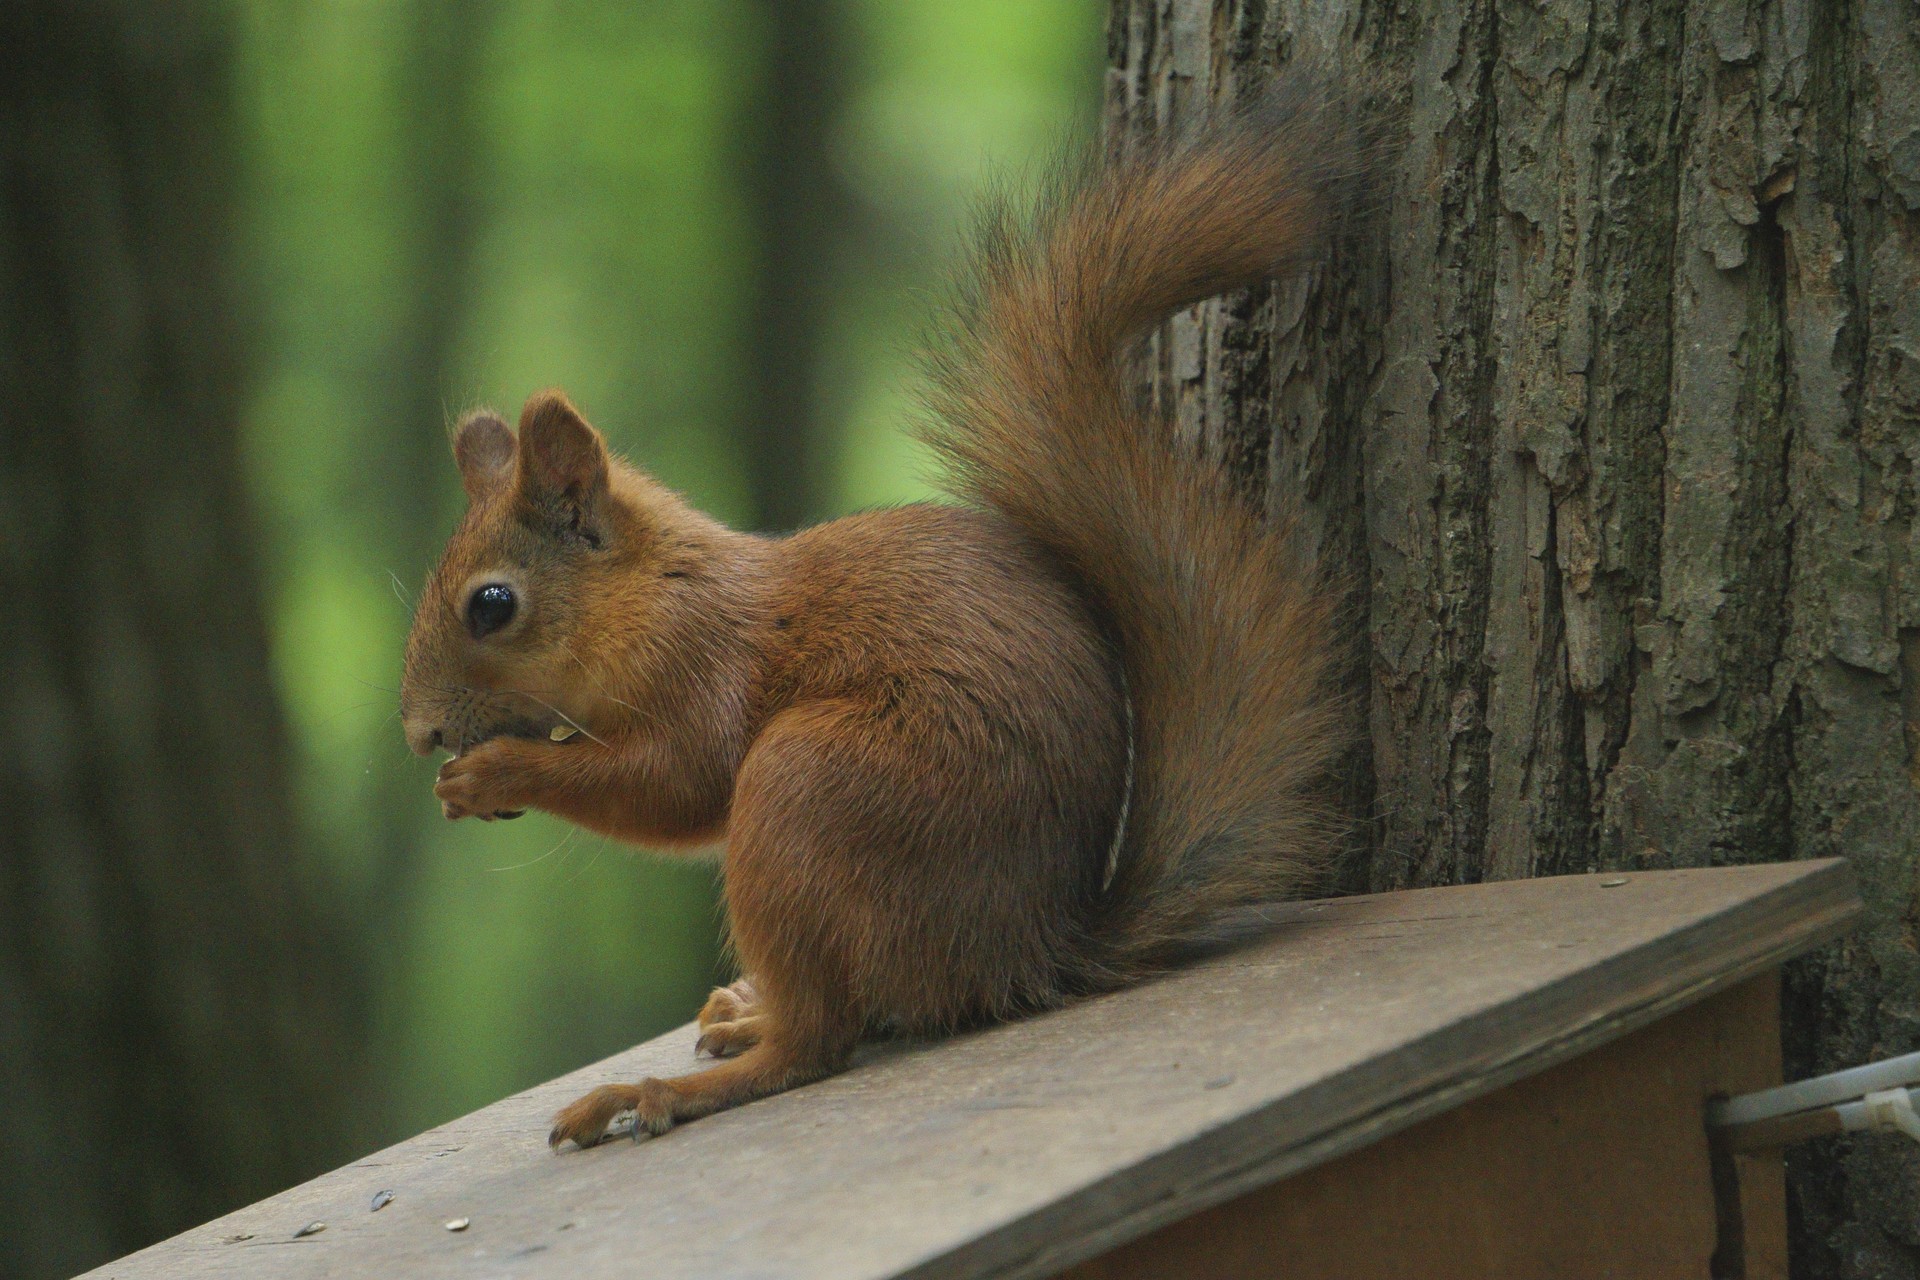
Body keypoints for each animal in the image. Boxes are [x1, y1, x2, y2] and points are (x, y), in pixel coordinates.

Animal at [401, 75, 1367, 1143]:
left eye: (493, 605)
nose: (419, 732)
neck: (648, 596)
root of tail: (1030, 949)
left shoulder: (702, 670)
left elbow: (677, 785)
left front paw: (492, 774)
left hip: (812, 788)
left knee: (819, 1042)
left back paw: (667, 1088)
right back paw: (744, 1016)